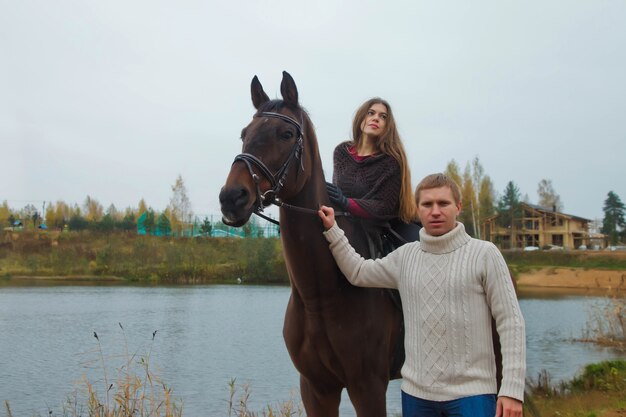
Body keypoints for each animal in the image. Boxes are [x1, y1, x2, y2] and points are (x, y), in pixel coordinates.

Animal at [219, 70, 402, 412]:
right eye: (244, 133)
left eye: (287, 133)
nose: (232, 197)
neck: (321, 296)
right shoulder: (316, 388)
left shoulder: (369, 387)